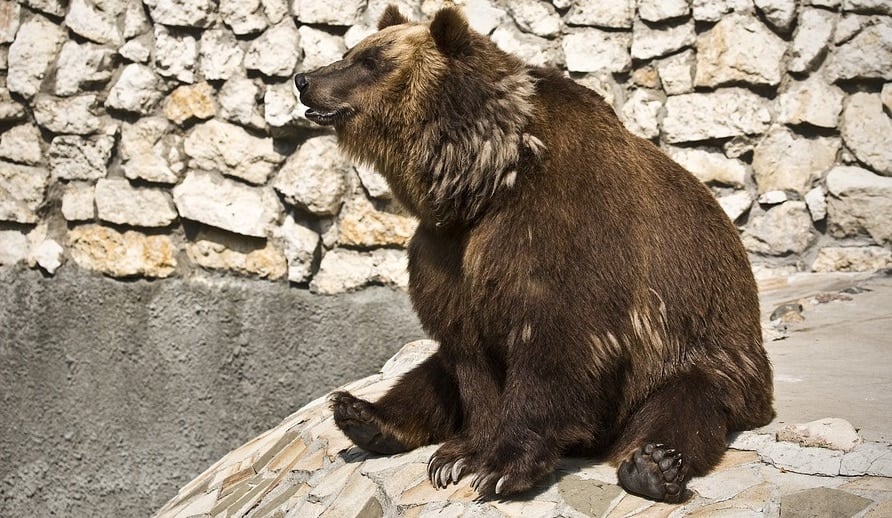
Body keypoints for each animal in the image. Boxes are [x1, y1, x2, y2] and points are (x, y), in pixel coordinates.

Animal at [292, 5, 772, 504]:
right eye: (352, 51)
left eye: (371, 61)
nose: (304, 79)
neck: (486, 179)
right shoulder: (447, 252)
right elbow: (468, 357)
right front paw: (461, 454)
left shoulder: (559, 227)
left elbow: (555, 343)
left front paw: (501, 467)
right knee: (430, 372)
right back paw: (362, 416)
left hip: (700, 350)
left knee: (685, 405)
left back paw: (653, 464)